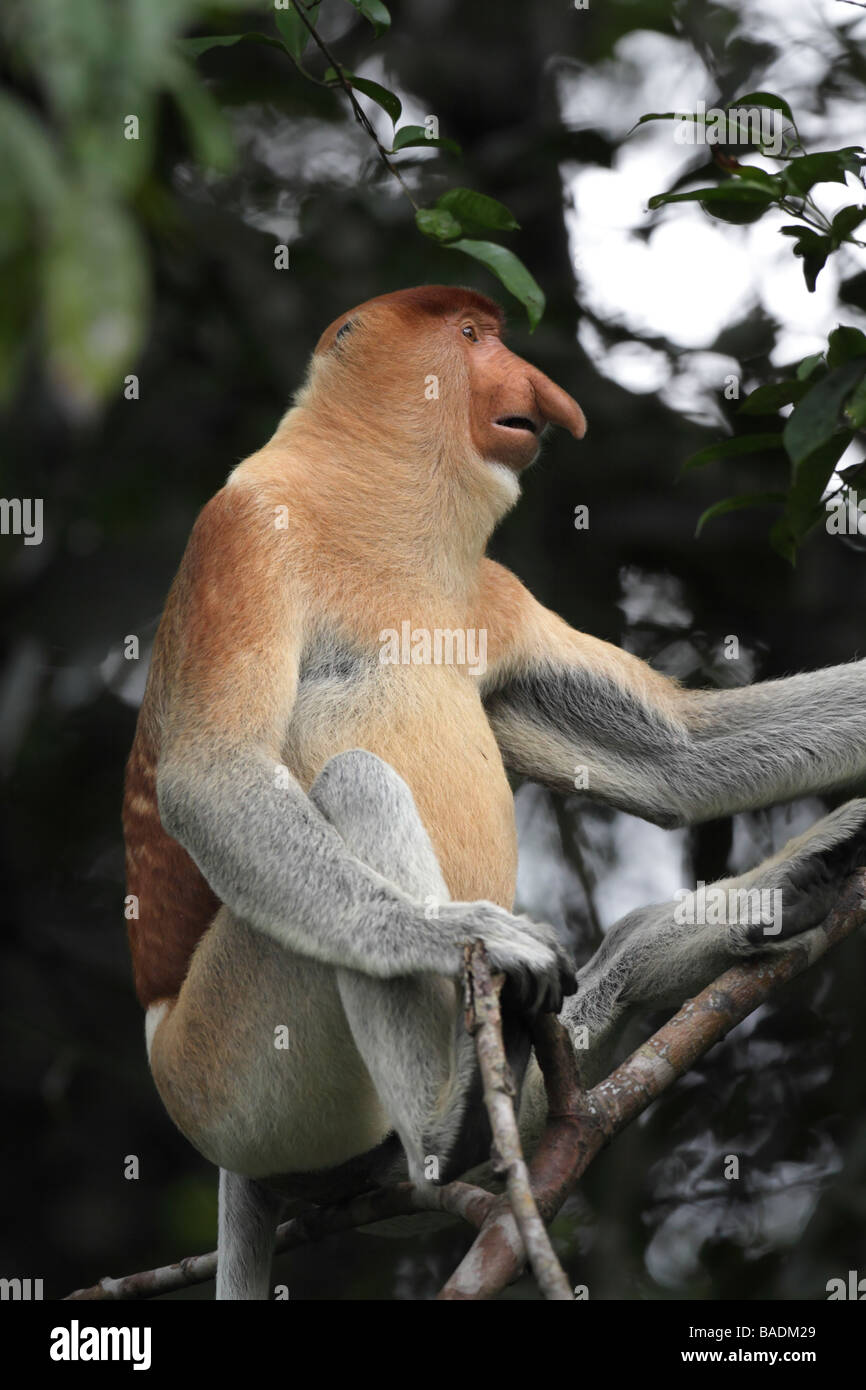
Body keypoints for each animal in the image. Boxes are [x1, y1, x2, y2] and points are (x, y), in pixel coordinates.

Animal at [123, 285, 866, 1299]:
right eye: (471, 336)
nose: (546, 398)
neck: (382, 513)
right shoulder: (242, 531)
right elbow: (211, 777)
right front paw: (469, 933)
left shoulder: (492, 592)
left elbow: (679, 758)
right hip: (225, 1073)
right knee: (353, 780)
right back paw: (450, 1128)